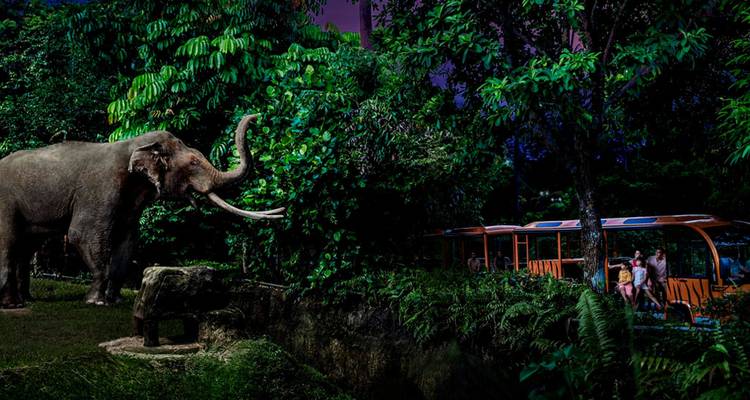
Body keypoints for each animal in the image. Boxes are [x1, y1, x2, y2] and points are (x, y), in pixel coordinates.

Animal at [0, 115, 284, 308]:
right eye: (193, 162)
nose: (256, 117)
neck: (133, 144)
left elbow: (127, 240)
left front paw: (114, 301)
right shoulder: (100, 189)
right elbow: (83, 234)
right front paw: (96, 302)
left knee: (26, 247)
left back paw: (26, 299)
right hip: (6, 203)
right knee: (10, 243)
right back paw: (13, 305)